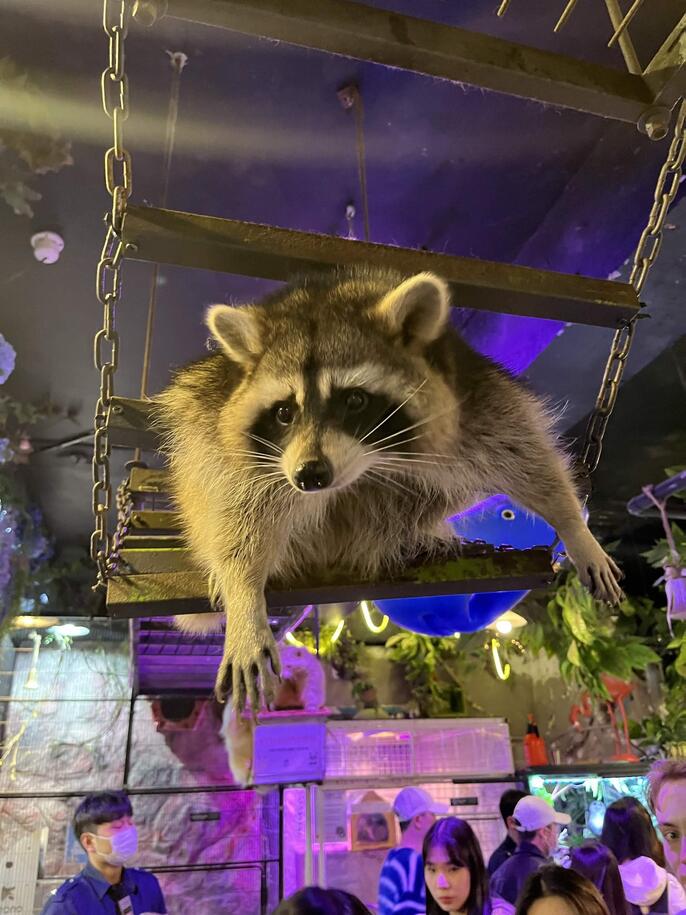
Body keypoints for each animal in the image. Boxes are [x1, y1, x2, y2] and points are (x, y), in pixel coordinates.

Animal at [157, 266, 623, 708]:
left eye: (354, 401)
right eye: (285, 412)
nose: (311, 476)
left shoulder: (471, 400)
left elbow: (525, 454)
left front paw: (574, 528)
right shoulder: (263, 458)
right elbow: (242, 507)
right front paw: (243, 592)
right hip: (204, 404)